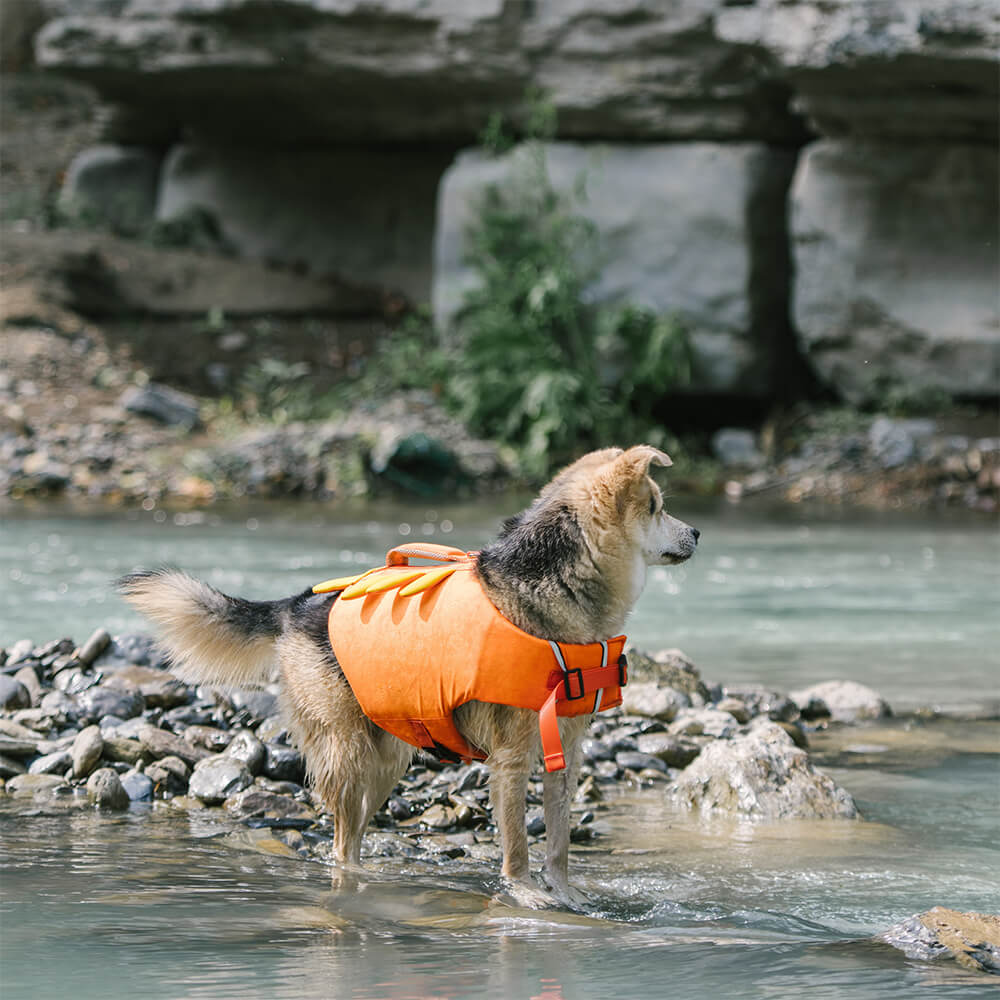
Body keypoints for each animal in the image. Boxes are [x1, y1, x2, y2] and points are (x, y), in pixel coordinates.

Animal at [119, 448, 696, 908]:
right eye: (657, 505)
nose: (696, 531)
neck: (553, 584)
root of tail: (296, 605)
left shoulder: (565, 751)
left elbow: (558, 842)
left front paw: (567, 891)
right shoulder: (511, 758)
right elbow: (516, 843)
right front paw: (526, 894)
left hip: (388, 757)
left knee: (352, 833)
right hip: (349, 757)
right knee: (341, 841)